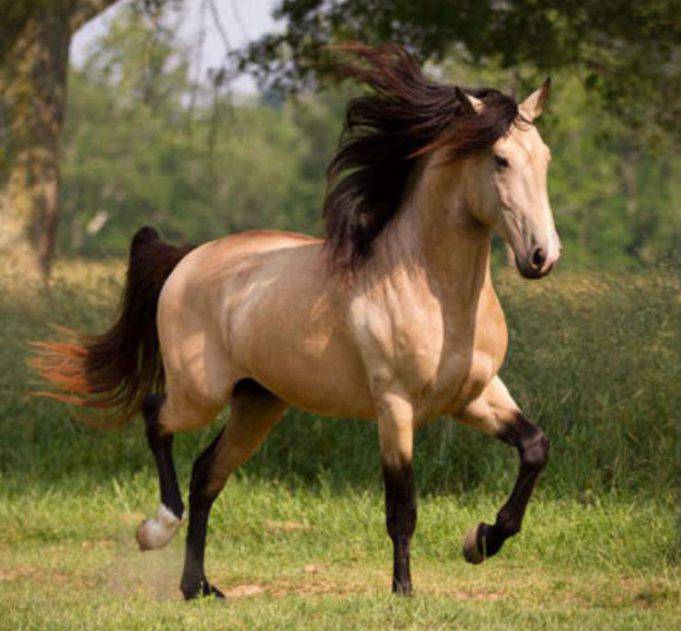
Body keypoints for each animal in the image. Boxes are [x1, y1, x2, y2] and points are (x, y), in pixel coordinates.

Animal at [32, 43, 560, 599]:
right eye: (500, 159)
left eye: (545, 157)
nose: (542, 257)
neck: (433, 293)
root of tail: (187, 259)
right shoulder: (395, 407)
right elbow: (402, 509)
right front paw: (404, 590)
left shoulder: (475, 396)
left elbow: (535, 448)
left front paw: (481, 541)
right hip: (201, 393)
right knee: (156, 415)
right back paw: (156, 529)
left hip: (257, 404)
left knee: (206, 475)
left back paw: (199, 586)